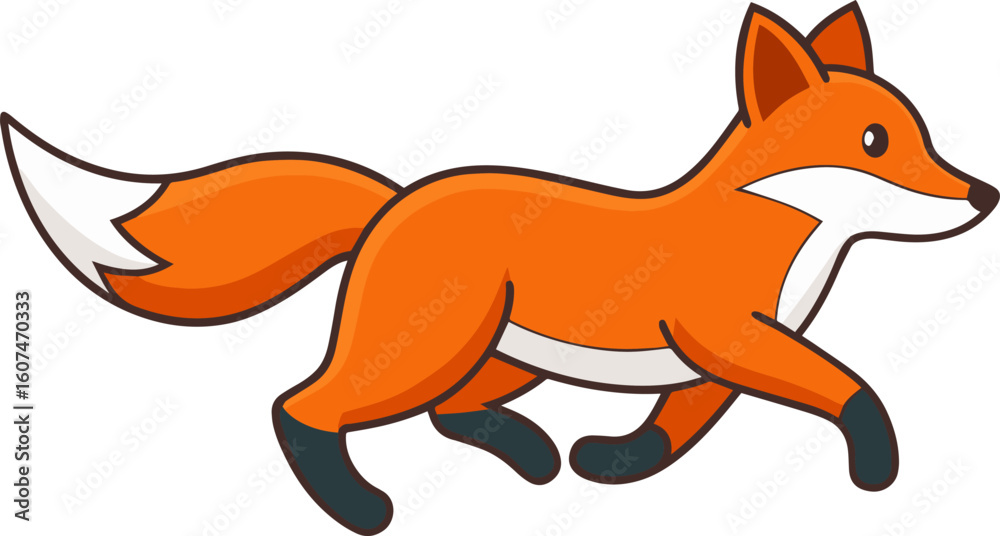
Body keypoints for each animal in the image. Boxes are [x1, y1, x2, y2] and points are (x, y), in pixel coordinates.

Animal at [3, 3, 996, 534]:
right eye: (875, 143)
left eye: (922, 135)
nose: (986, 195)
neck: (783, 232)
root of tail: (401, 196)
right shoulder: (726, 334)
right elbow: (847, 385)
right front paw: (877, 464)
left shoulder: (712, 361)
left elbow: (671, 430)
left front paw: (614, 465)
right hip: (431, 344)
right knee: (303, 406)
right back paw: (357, 505)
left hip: (504, 352)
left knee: (449, 413)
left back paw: (532, 455)